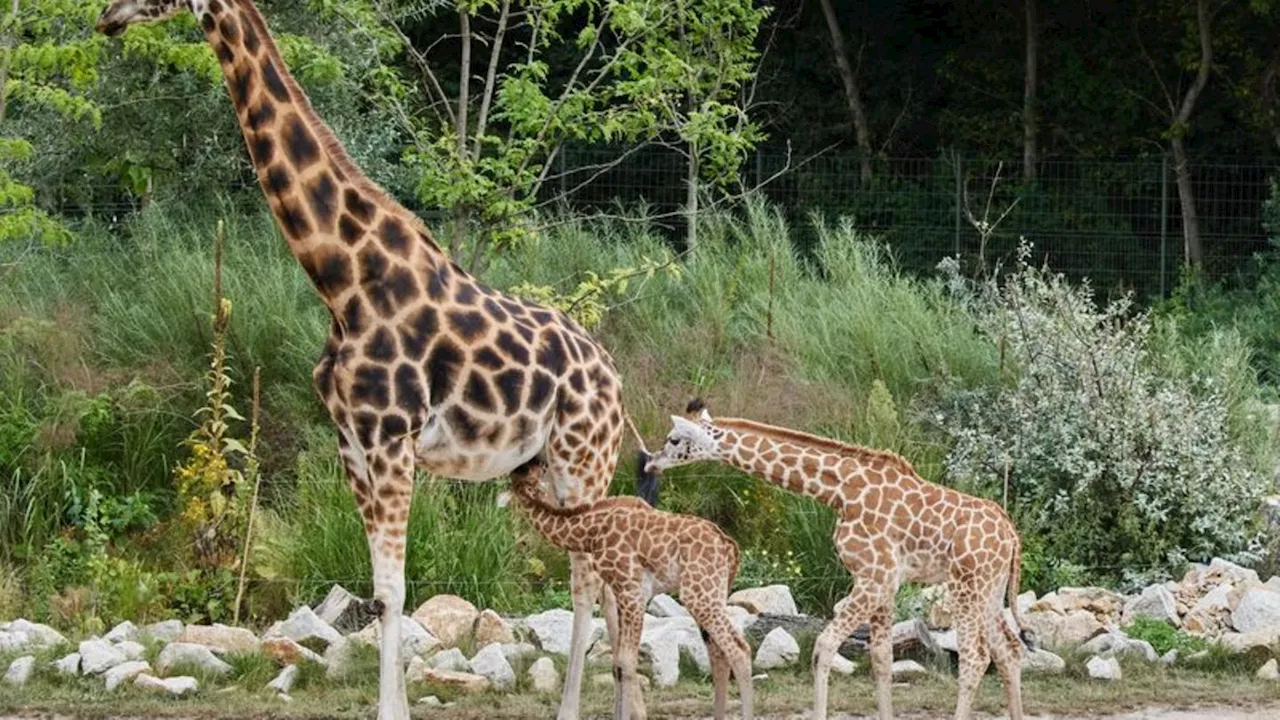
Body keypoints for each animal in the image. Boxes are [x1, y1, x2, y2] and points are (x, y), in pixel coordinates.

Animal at [92, 2, 640, 712]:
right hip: (546, 464)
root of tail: (615, 378)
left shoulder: (390, 438)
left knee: (588, 581)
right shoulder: (352, 443)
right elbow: (380, 594)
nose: (107, 19)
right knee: (598, 578)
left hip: (583, 460)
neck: (342, 281)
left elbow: (397, 591)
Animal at [506, 458, 752, 717]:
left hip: (699, 594)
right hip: (710, 594)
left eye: (533, 471)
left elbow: (625, 662)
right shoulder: (622, 592)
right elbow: (619, 663)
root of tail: (731, 547)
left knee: (739, 649)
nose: (537, 462)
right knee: (720, 652)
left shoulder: (630, 590)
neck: (590, 532)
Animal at [640, 397, 1029, 717]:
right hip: (990, 589)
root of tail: (1012, 535)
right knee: (1008, 650)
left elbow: (823, 646)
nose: (650, 465)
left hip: (966, 586)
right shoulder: (883, 582)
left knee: (976, 657)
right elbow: (881, 659)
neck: (839, 491)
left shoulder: (874, 577)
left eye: (674, 439)